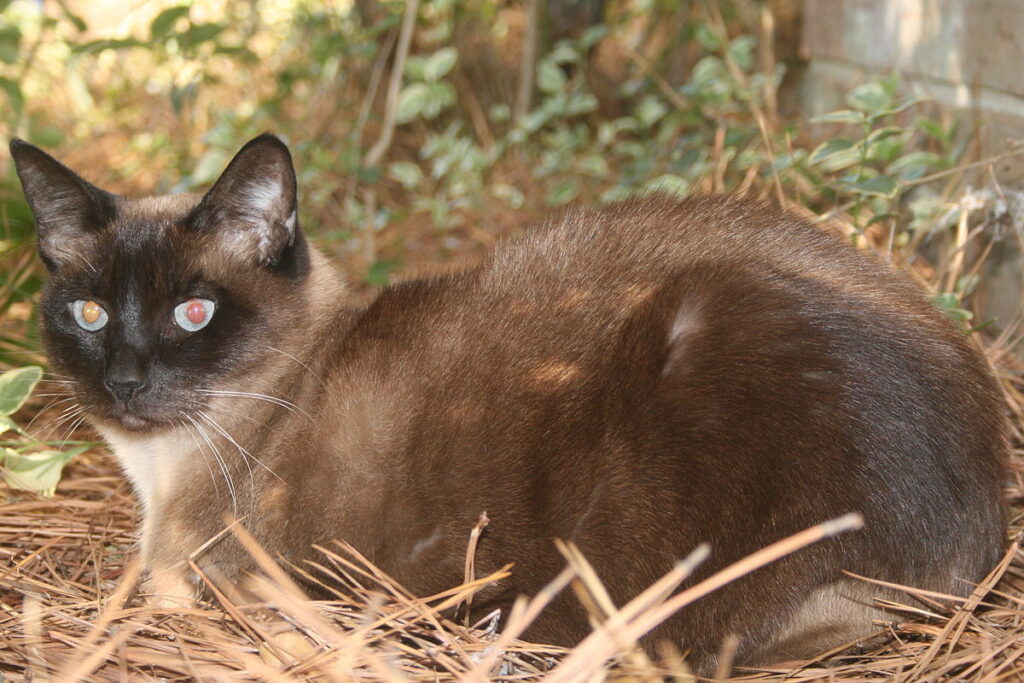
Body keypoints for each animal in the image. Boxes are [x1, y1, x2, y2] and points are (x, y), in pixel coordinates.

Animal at [9, 133, 1007, 671]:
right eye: (90, 312)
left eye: (194, 311)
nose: (125, 381)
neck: (164, 477)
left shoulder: (216, 582)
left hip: (712, 342)